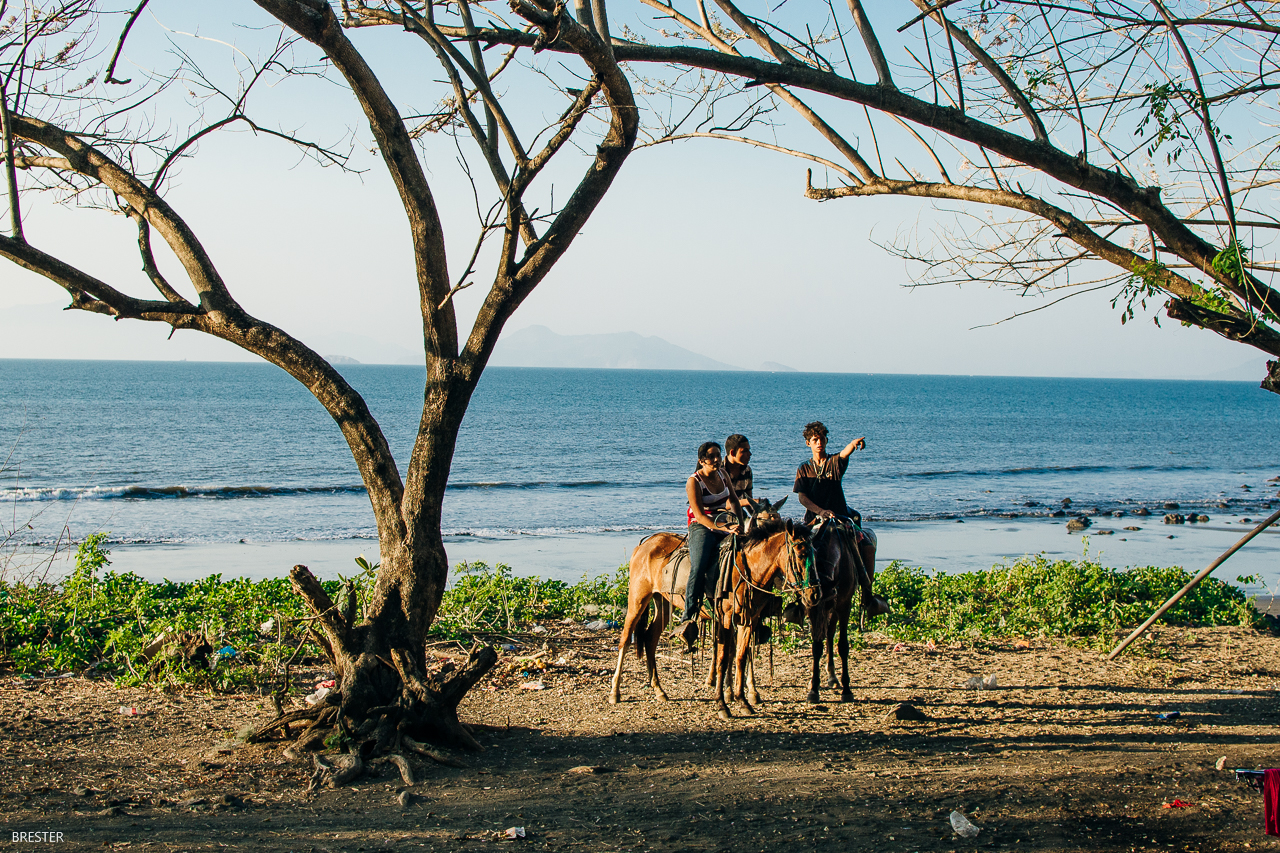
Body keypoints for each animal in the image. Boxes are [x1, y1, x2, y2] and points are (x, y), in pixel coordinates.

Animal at [611, 512, 819, 717]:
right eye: (800, 554)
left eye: (815, 554)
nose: (814, 594)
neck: (746, 569)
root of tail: (644, 544)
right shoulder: (725, 619)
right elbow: (723, 659)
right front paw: (722, 703)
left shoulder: (749, 620)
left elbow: (741, 657)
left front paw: (742, 700)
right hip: (637, 599)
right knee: (625, 640)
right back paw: (615, 692)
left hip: (663, 603)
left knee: (650, 639)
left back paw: (659, 690)